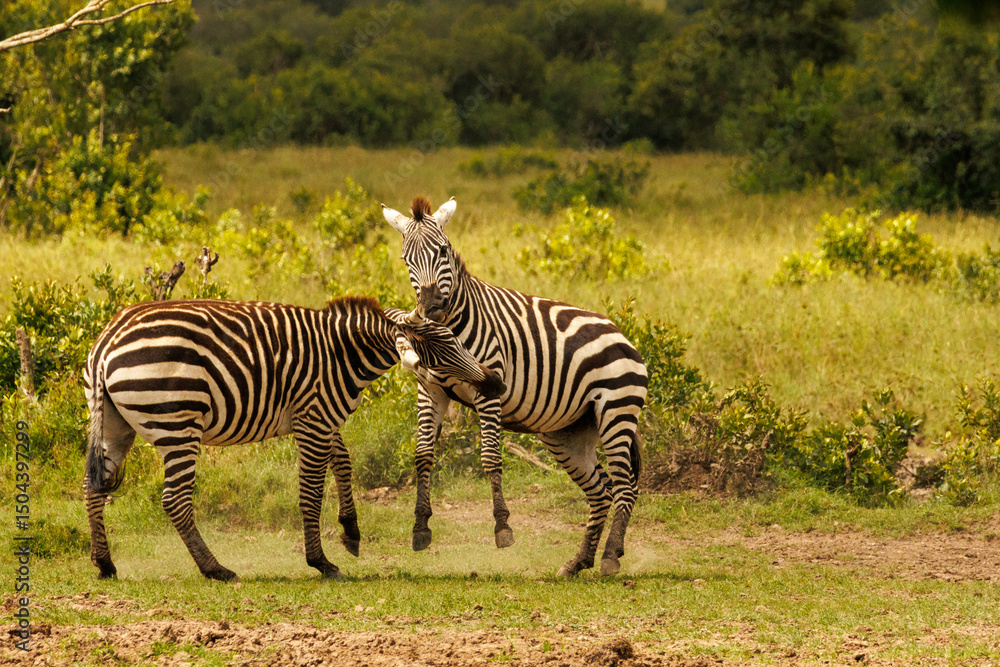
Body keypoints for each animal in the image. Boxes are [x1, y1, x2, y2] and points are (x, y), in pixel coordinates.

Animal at [84, 296, 504, 581]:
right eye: (443, 348)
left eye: (457, 341)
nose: (496, 383)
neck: (343, 354)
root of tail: (107, 341)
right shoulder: (314, 420)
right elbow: (311, 493)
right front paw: (321, 561)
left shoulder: (322, 417)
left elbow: (344, 462)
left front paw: (350, 531)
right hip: (177, 423)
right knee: (174, 499)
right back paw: (216, 569)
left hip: (115, 424)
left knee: (93, 486)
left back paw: (105, 563)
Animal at [381, 197, 649, 577]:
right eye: (407, 259)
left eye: (443, 251)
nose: (431, 308)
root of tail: (621, 334)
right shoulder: (430, 390)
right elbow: (422, 456)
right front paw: (420, 529)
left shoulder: (489, 387)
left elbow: (491, 458)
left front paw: (502, 527)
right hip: (567, 433)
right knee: (601, 491)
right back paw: (579, 561)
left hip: (616, 411)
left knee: (625, 486)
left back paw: (610, 556)